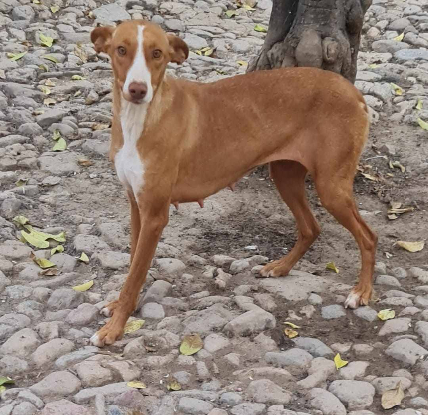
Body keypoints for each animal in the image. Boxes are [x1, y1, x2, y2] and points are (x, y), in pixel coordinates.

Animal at [89, 20, 377, 347]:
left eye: (157, 53)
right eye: (120, 50)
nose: (137, 90)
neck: (140, 119)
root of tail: (354, 91)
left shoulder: (155, 215)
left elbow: (136, 272)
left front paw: (114, 328)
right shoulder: (136, 206)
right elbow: (132, 265)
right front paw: (119, 307)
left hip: (331, 187)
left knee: (368, 237)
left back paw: (361, 292)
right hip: (285, 176)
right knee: (311, 228)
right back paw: (281, 267)